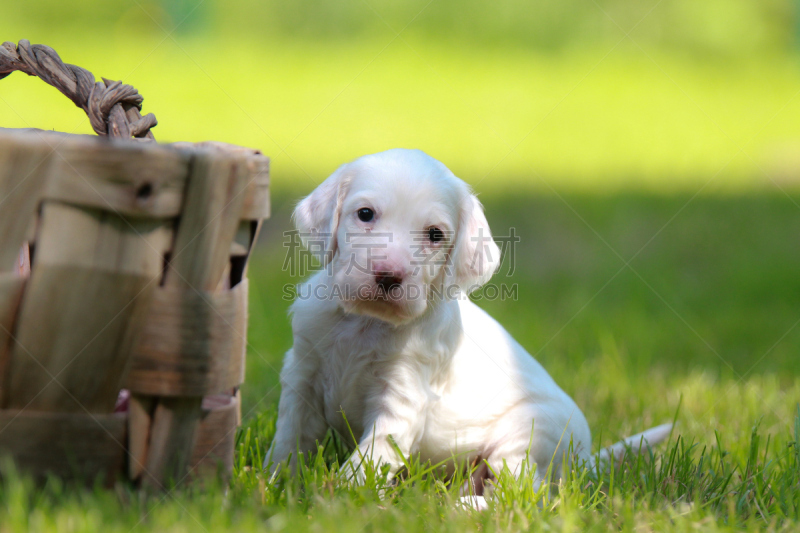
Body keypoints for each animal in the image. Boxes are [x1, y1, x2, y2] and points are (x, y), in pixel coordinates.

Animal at [266, 148, 672, 504]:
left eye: (434, 234)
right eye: (365, 214)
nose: (389, 275)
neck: (367, 322)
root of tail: (584, 459)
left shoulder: (401, 399)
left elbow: (370, 459)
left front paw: (342, 501)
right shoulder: (302, 374)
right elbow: (288, 441)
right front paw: (275, 485)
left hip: (525, 438)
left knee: (522, 499)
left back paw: (452, 509)